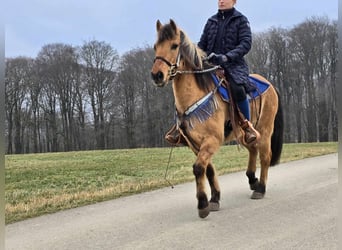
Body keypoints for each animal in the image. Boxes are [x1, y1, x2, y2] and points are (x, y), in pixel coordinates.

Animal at [150, 20, 284, 219]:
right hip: (244, 134)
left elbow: (199, 168)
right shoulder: (195, 144)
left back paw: (260, 188)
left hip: (265, 130)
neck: (197, 95)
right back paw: (252, 179)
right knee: (253, 149)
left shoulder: (212, 140)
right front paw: (214, 198)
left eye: (174, 46)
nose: (157, 75)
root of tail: (270, 85)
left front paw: (203, 204)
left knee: (265, 156)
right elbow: (209, 169)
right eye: (155, 47)